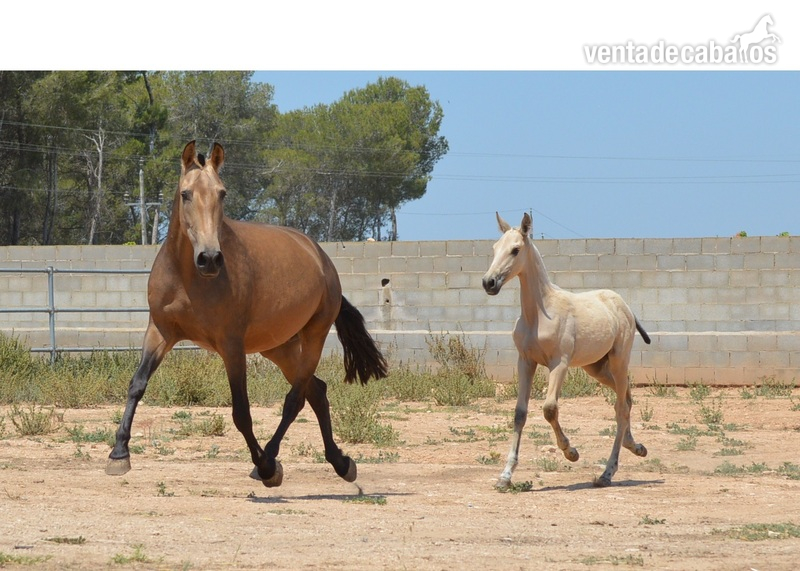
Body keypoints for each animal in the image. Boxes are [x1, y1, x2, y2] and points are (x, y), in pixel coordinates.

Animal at [106, 140, 388, 487]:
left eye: (222, 193)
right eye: (185, 193)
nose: (210, 259)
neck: (188, 278)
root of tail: (321, 258)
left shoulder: (231, 346)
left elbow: (241, 411)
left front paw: (266, 466)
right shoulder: (160, 332)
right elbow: (137, 384)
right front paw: (119, 454)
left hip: (314, 336)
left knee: (295, 399)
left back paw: (269, 462)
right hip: (278, 348)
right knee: (317, 392)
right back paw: (340, 462)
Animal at [482, 212, 651, 488]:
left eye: (515, 250)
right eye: (495, 248)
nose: (489, 282)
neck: (540, 312)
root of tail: (625, 306)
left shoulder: (558, 364)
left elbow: (550, 408)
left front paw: (571, 452)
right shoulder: (525, 361)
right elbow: (520, 413)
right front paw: (505, 476)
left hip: (618, 360)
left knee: (620, 408)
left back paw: (607, 473)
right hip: (596, 368)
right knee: (626, 399)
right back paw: (635, 446)